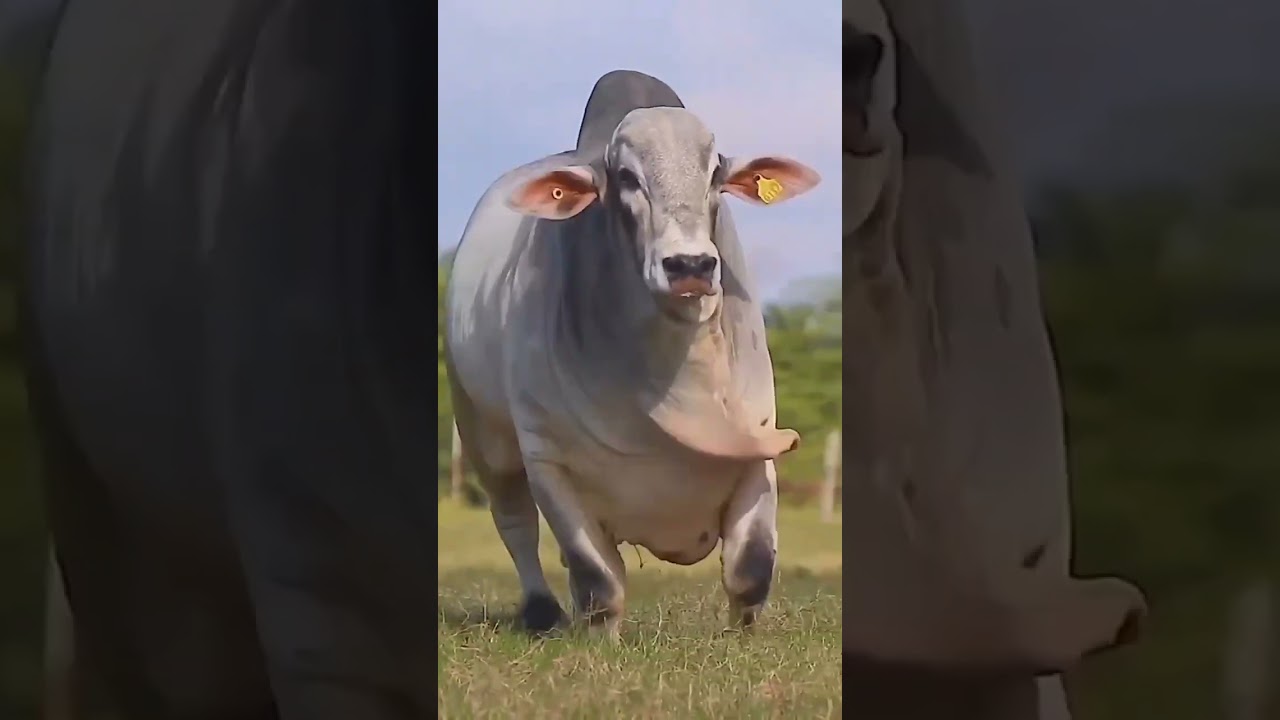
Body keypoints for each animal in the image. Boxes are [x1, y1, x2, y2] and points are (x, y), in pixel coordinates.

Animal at [444, 70, 821, 636]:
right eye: (625, 177)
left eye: (715, 173)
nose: (690, 265)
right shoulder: (547, 458)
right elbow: (598, 580)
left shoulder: (758, 441)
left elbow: (750, 568)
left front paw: (743, 637)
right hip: (483, 433)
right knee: (515, 523)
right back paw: (541, 610)